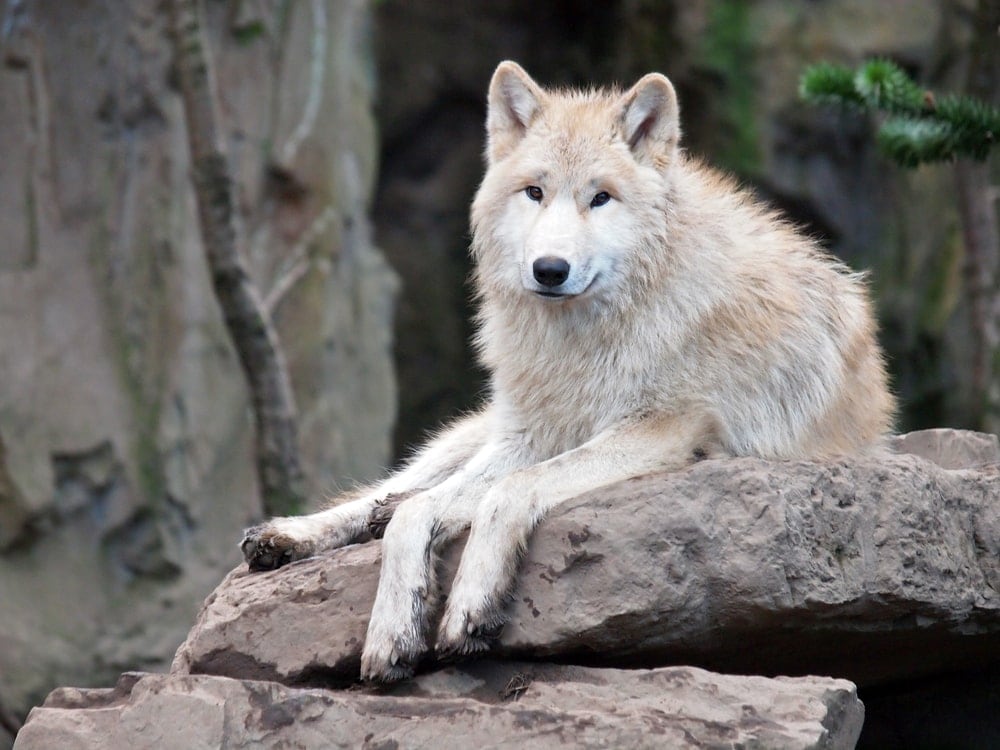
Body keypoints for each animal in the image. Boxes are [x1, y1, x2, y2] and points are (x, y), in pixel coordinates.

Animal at [241, 61, 895, 683]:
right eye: (534, 192)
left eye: (600, 197)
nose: (549, 269)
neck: (588, 339)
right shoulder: (531, 436)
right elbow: (414, 516)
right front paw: (392, 631)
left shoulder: (663, 431)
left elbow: (503, 494)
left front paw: (469, 605)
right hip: (481, 430)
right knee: (395, 491)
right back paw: (287, 535)